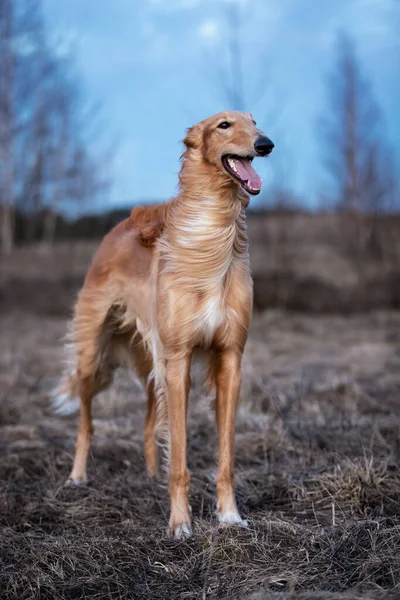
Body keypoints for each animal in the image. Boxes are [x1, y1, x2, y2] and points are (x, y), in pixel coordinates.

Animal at [53, 110, 274, 536]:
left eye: (255, 122)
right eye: (224, 125)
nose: (266, 144)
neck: (211, 237)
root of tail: (118, 226)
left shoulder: (229, 358)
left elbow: (225, 456)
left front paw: (229, 515)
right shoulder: (180, 358)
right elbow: (181, 455)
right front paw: (180, 523)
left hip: (150, 360)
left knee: (147, 421)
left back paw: (151, 475)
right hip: (95, 355)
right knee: (86, 422)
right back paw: (77, 476)